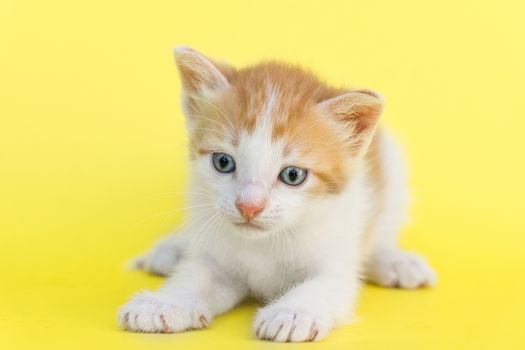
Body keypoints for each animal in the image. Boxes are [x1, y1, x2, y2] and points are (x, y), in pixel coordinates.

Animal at [118, 46, 434, 342]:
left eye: (293, 175)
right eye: (223, 162)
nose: (248, 206)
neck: (264, 243)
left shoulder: (335, 259)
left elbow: (323, 285)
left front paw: (292, 313)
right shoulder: (216, 258)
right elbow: (195, 276)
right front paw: (164, 303)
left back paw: (395, 262)